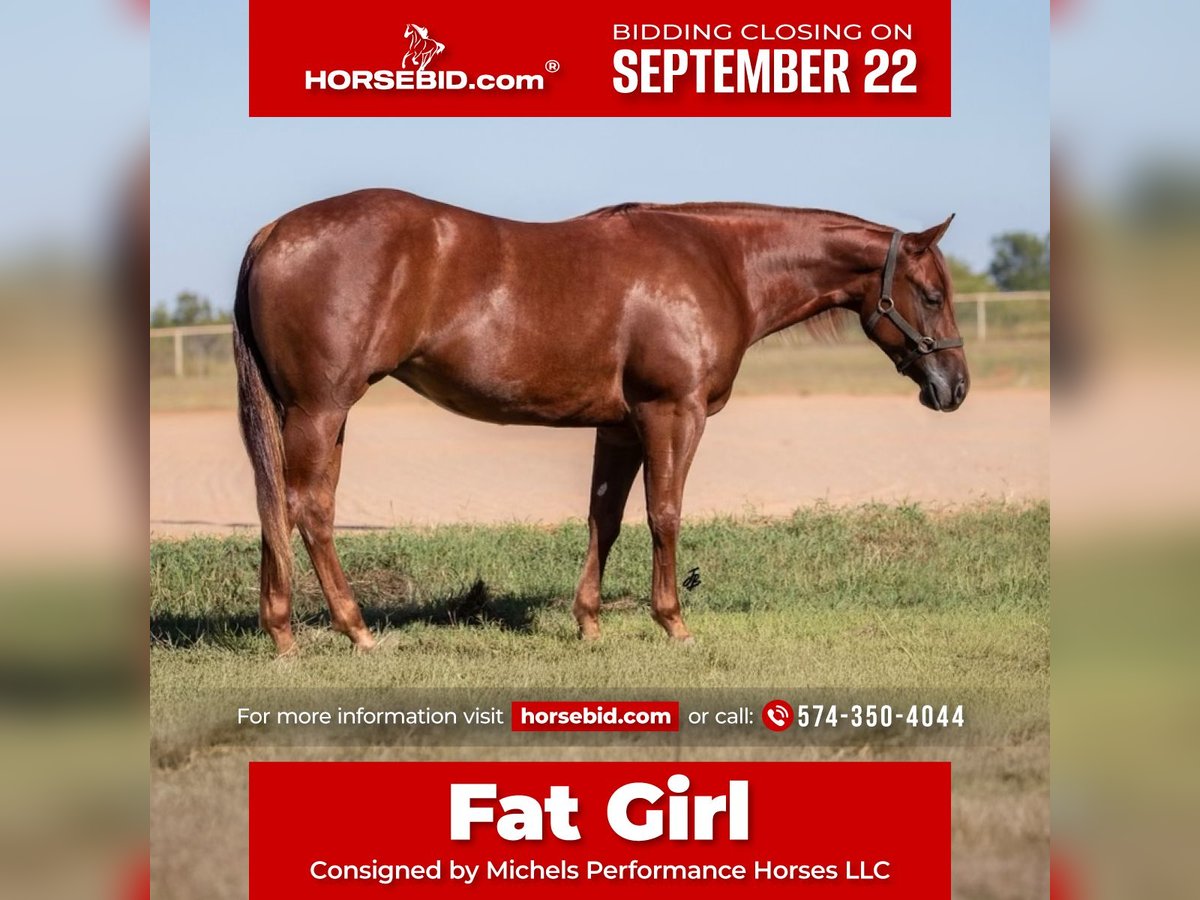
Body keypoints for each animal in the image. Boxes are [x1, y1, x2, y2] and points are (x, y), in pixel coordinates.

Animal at [232, 190, 968, 655]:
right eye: (931, 295)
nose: (955, 388)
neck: (719, 263)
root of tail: (273, 233)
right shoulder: (673, 413)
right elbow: (665, 513)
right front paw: (673, 623)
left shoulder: (618, 426)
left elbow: (604, 519)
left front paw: (589, 623)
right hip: (322, 409)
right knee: (310, 508)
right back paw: (354, 630)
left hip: (313, 415)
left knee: (282, 505)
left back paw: (282, 631)